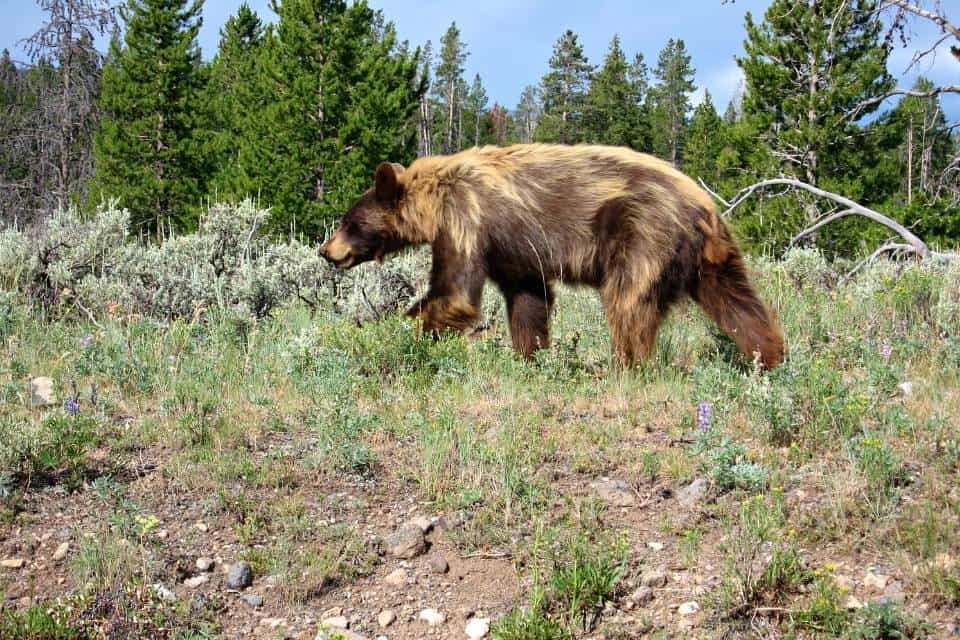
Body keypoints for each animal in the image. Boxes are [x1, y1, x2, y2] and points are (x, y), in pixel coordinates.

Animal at [322, 142, 788, 368]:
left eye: (348, 221)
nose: (326, 251)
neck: (434, 196)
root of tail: (703, 207)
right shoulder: (513, 249)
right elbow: (529, 298)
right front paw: (530, 356)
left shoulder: (466, 219)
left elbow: (455, 293)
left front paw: (383, 333)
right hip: (713, 259)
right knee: (740, 304)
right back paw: (770, 358)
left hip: (643, 232)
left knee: (628, 301)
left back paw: (625, 366)